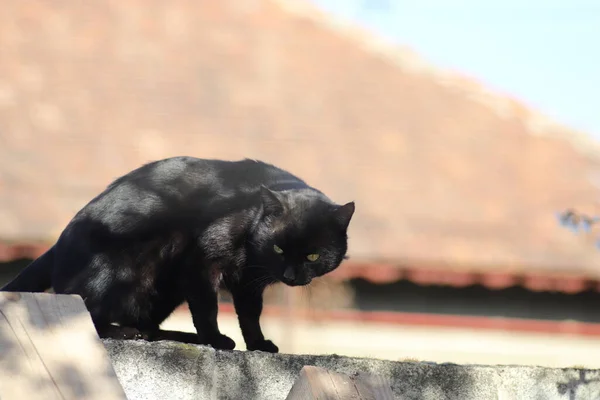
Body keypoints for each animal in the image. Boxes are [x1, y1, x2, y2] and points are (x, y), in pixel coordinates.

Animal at [1, 158, 356, 352]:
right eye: (279, 248)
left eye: (312, 256)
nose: (290, 276)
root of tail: (59, 243)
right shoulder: (203, 261)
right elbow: (208, 309)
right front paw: (215, 339)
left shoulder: (248, 281)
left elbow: (250, 315)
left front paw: (258, 344)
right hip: (119, 271)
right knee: (89, 316)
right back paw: (127, 334)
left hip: (166, 287)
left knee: (146, 323)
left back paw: (175, 337)